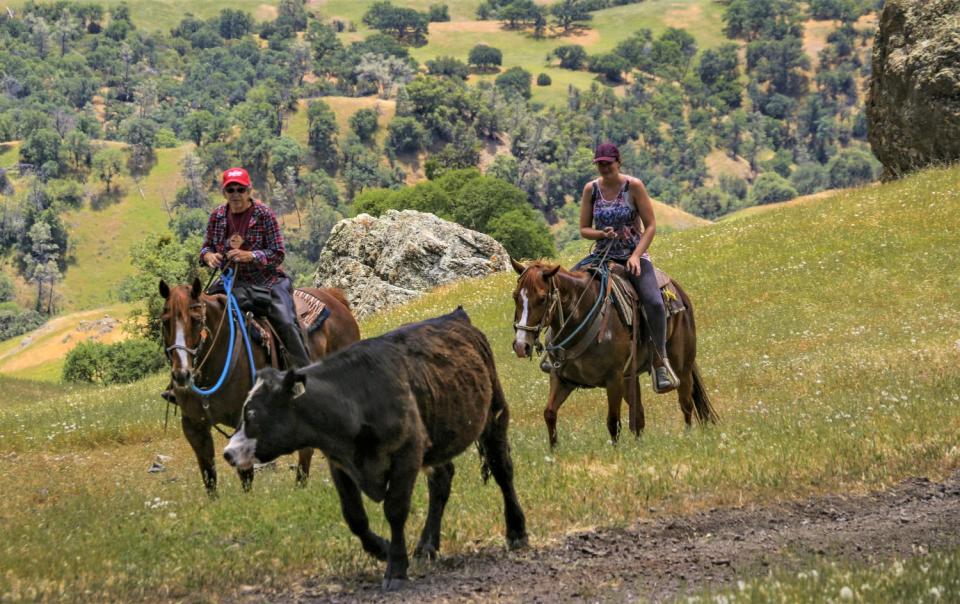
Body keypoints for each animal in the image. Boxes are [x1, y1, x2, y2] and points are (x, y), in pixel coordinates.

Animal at [159, 276, 358, 494]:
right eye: (165, 321)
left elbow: (245, 474)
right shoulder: (194, 426)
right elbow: (209, 477)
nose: (182, 375)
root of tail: (334, 298)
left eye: (196, 320)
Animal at [222, 310, 528, 588]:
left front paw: (396, 567)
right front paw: (382, 549)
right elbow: (354, 516)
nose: (227, 453)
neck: (356, 397)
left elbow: (395, 509)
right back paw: (427, 546)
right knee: (441, 481)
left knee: (502, 470)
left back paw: (516, 532)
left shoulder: (407, 453)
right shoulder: (340, 463)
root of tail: (457, 317)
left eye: (252, 413)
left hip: (495, 414)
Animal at [512, 260, 716, 448]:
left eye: (542, 298)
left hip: (681, 365)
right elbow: (549, 413)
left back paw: (688, 436)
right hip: (630, 378)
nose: (521, 345)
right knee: (638, 415)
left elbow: (613, 421)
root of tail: (677, 290)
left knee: (686, 402)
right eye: (515, 296)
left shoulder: (613, 379)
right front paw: (554, 454)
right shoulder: (561, 379)